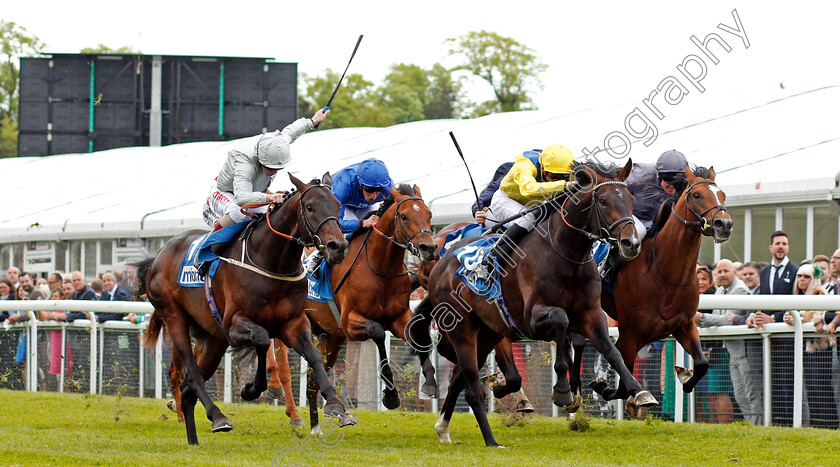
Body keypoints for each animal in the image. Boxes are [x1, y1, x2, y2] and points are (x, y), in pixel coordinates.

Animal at [137, 174, 352, 444]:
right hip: (174, 316)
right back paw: (218, 416)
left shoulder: (294, 323)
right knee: (190, 371)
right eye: (310, 206)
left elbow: (313, 356)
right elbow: (261, 338)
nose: (338, 247)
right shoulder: (233, 325)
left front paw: (334, 404)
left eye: (338, 205)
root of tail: (159, 254)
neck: (272, 262)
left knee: (188, 388)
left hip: (213, 339)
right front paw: (252, 389)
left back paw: (194, 439)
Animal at [304, 183, 436, 436]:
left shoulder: (399, 317)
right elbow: (377, 332)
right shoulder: (350, 322)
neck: (380, 268)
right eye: (404, 216)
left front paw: (431, 383)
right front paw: (391, 395)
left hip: (331, 338)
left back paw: (326, 420)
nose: (429, 248)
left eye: (429, 214)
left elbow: (416, 335)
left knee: (314, 377)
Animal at [414, 161, 656, 450]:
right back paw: (491, 440)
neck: (566, 255)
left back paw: (444, 428)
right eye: (604, 201)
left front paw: (639, 391)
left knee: (458, 381)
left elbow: (612, 351)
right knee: (471, 387)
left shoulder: (591, 315)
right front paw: (562, 390)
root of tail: (439, 263)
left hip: (488, 334)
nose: (632, 243)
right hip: (463, 331)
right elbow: (561, 320)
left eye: (630, 199)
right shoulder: (532, 319)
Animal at [580, 165, 732, 414]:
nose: (724, 224)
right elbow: (622, 379)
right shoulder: (630, 333)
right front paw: (608, 390)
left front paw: (685, 377)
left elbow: (702, 363)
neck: (666, 275)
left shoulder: (684, 324)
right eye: (696, 195)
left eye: (723, 195)